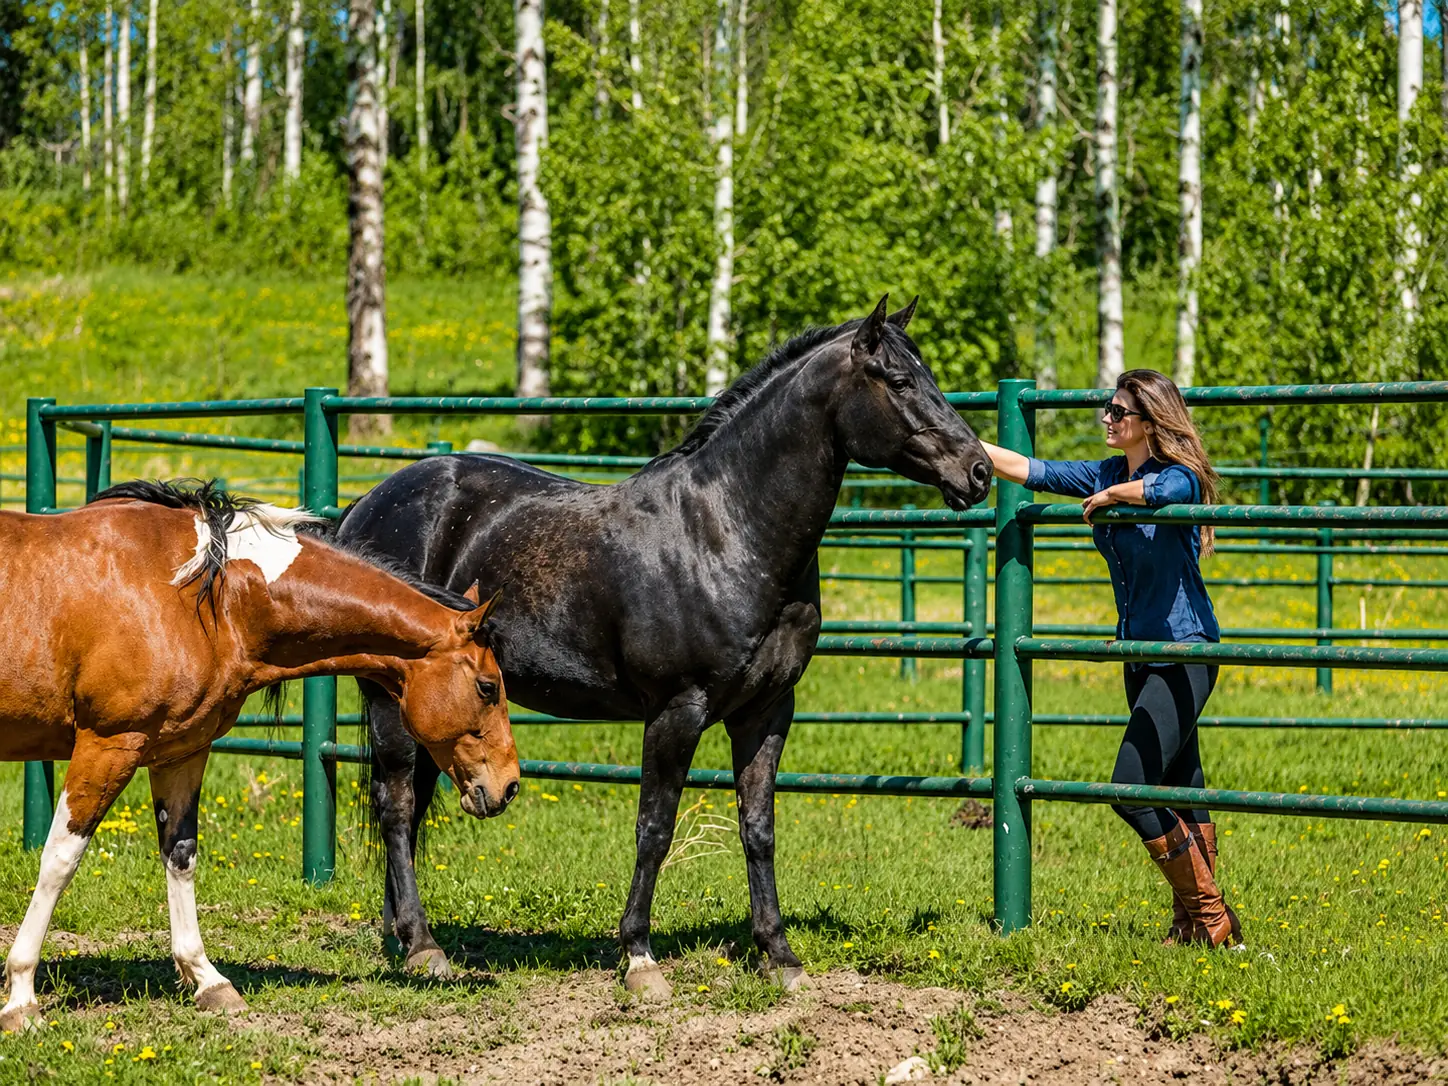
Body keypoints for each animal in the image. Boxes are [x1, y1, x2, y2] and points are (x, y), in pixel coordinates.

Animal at [0, 480, 520, 1030]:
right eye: (488, 687)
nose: (508, 785)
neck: (202, 595)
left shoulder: (180, 752)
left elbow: (180, 856)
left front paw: (208, 981)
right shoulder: (109, 745)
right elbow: (60, 859)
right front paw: (22, 996)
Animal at [337, 296, 993, 996]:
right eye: (898, 381)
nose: (978, 471)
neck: (726, 531)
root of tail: (366, 505)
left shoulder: (765, 712)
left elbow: (758, 828)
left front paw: (778, 955)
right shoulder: (677, 711)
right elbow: (654, 829)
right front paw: (640, 958)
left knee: (408, 811)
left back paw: (402, 938)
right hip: (390, 704)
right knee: (398, 806)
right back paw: (424, 947)